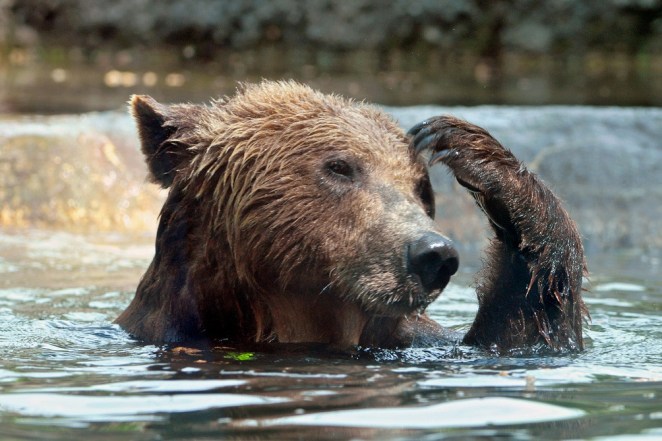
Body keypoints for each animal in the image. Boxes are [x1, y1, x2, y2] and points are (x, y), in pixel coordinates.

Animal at [116, 81, 587, 352]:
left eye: (420, 187)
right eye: (340, 166)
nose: (434, 253)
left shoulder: (423, 344)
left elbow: (519, 338)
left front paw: (462, 142)